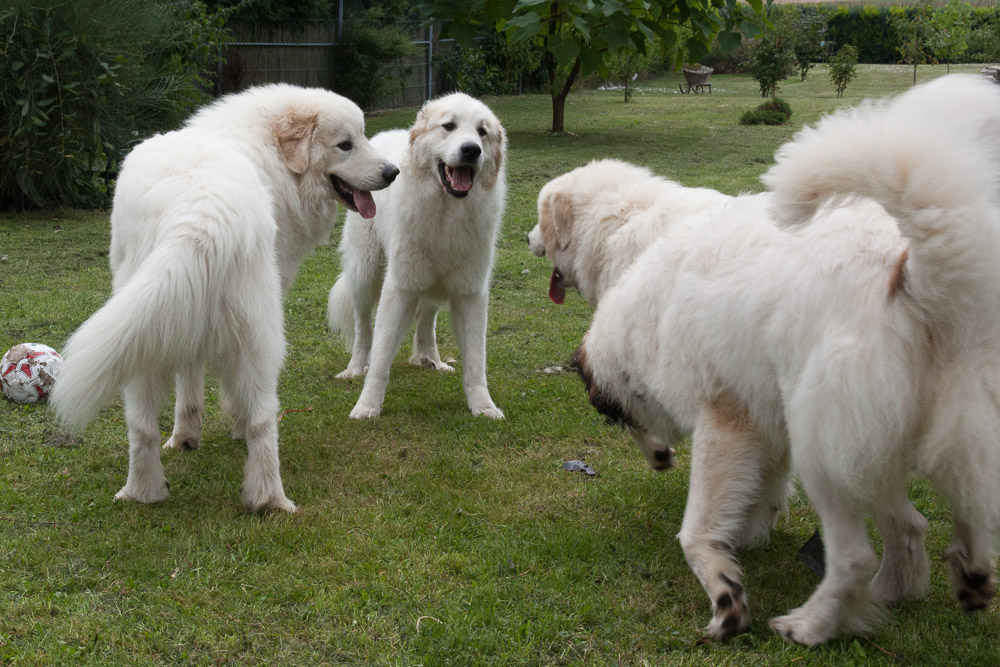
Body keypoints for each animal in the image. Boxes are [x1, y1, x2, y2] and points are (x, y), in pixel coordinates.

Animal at [47, 86, 398, 516]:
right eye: (346, 145)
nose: (392, 172)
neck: (268, 152)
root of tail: (203, 210)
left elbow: (188, 381)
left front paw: (185, 437)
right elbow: (228, 393)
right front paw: (231, 426)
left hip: (140, 333)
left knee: (141, 426)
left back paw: (142, 491)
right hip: (259, 332)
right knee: (265, 418)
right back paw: (269, 498)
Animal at [328, 92, 508, 420]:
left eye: (482, 132)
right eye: (449, 126)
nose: (471, 150)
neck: (446, 213)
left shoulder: (470, 294)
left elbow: (476, 361)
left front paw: (483, 406)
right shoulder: (399, 289)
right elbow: (381, 355)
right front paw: (367, 405)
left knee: (427, 319)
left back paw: (430, 358)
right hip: (364, 273)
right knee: (363, 327)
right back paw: (356, 367)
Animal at [572, 74, 1000, 648]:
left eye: (614, 417)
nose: (660, 460)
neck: (646, 314)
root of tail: (917, 274)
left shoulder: (727, 425)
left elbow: (696, 528)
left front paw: (725, 590)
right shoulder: (768, 428)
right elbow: (764, 491)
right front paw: (749, 535)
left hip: (822, 443)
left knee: (857, 555)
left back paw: (812, 624)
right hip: (913, 436)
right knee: (930, 521)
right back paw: (928, 584)